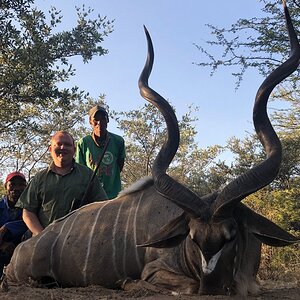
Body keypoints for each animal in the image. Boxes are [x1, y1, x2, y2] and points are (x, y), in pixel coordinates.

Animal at [5, 0, 300, 296]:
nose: (212, 288)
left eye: (231, 235)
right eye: (193, 237)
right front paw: (128, 282)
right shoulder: (157, 271)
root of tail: (21, 250)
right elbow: (183, 285)